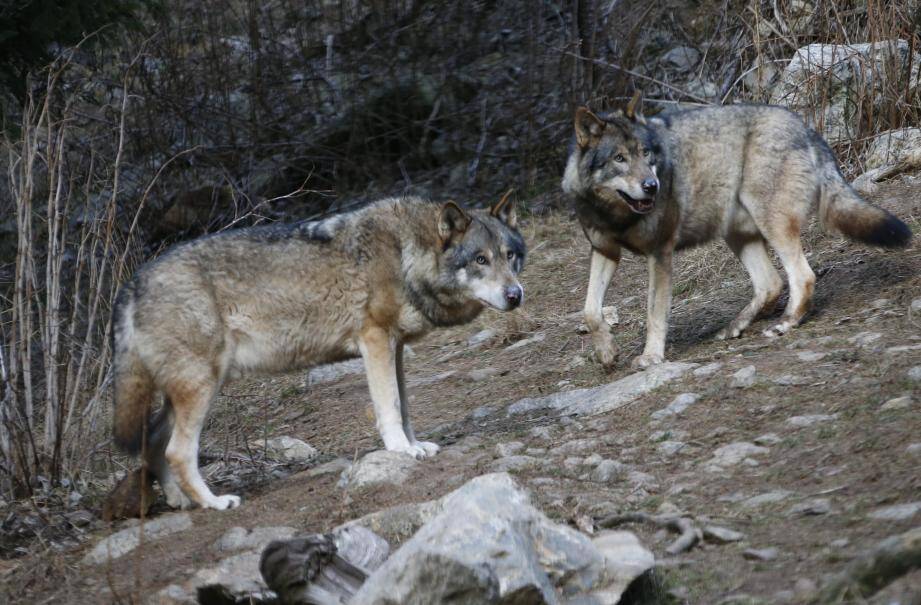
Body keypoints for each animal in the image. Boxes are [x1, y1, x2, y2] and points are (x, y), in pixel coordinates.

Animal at [110, 195, 524, 510]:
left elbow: (405, 408)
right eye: (480, 260)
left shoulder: (396, 348)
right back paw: (213, 503)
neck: (405, 254)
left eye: (510, 256)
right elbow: (389, 408)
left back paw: (182, 501)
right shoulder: (376, 341)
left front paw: (415, 445)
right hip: (202, 389)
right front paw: (401, 451)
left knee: (154, 442)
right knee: (177, 452)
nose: (515, 295)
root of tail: (133, 284)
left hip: (191, 390)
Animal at [560, 95, 912, 368]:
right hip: (739, 235)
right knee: (771, 283)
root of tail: (805, 126)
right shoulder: (605, 251)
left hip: (772, 224)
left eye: (646, 154)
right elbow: (590, 311)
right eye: (620, 158)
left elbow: (654, 313)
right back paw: (735, 327)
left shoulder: (660, 253)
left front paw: (651, 357)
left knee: (802, 276)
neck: (615, 215)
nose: (652, 186)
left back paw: (785, 323)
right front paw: (607, 352)